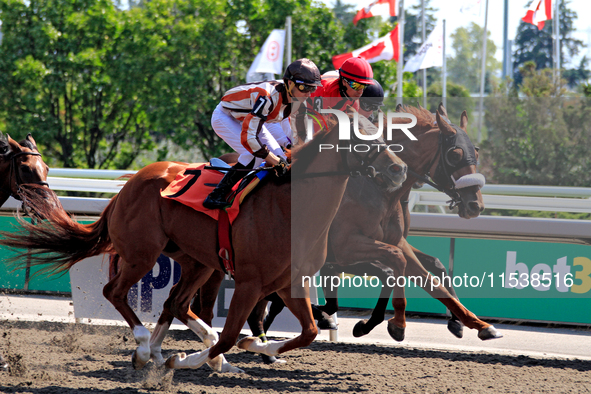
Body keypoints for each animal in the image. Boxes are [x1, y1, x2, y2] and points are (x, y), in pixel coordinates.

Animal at [0, 116, 408, 372]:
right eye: (360, 136)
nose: (397, 169)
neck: (292, 207)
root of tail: (128, 186)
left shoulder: (290, 282)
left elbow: (307, 332)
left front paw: (256, 347)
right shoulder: (250, 283)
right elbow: (228, 336)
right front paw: (188, 359)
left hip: (198, 262)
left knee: (176, 303)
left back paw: (157, 350)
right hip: (142, 254)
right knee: (115, 291)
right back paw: (146, 346)